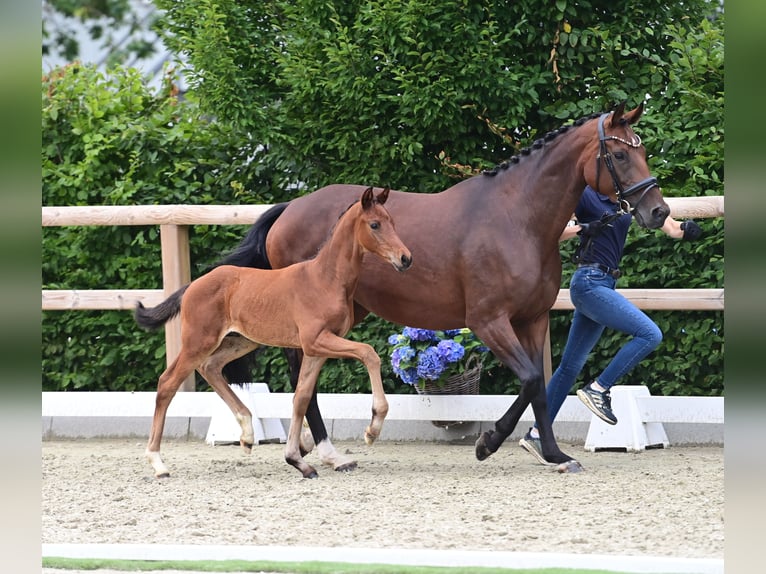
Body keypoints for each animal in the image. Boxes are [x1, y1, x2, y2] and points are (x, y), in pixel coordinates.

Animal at [138, 187, 414, 480]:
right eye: (374, 225)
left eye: (392, 222)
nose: (405, 258)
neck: (325, 279)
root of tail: (192, 286)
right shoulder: (316, 340)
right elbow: (369, 353)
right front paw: (372, 430)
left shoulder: (316, 348)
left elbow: (301, 397)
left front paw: (298, 460)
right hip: (198, 341)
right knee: (167, 383)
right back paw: (158, 462)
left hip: (241, 341)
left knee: (210, 367)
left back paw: (247, 435)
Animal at [218, 102, 672, 472]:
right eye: (619, 154)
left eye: (642, 151)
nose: (659, 211)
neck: (517, 218)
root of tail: (288, 208)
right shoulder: (489, 321)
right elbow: (528, 379)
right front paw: (488, 443)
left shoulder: (533, 319)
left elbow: (540, 387)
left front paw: (555, 455)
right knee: (303, 377)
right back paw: (328, 453)